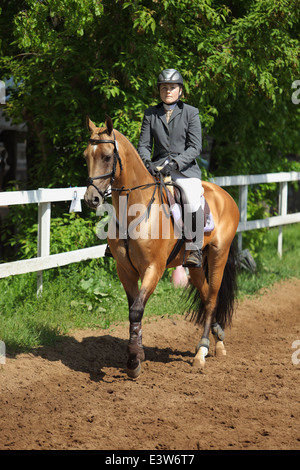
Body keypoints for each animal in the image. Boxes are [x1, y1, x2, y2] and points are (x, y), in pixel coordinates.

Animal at [83, 115, 240, 380]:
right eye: (86, 156)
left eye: (106, 156)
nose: (91, 199)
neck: (134, 210)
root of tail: (224, 195)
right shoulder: (125, 270)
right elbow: (133, 308)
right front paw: (139, 353)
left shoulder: (153, 269)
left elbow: (137, 310)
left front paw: (133, 362)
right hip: (195, 265)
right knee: (205, 293)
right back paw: (218, 339)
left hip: (219, 253)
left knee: (211, 299)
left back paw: (202, 351)